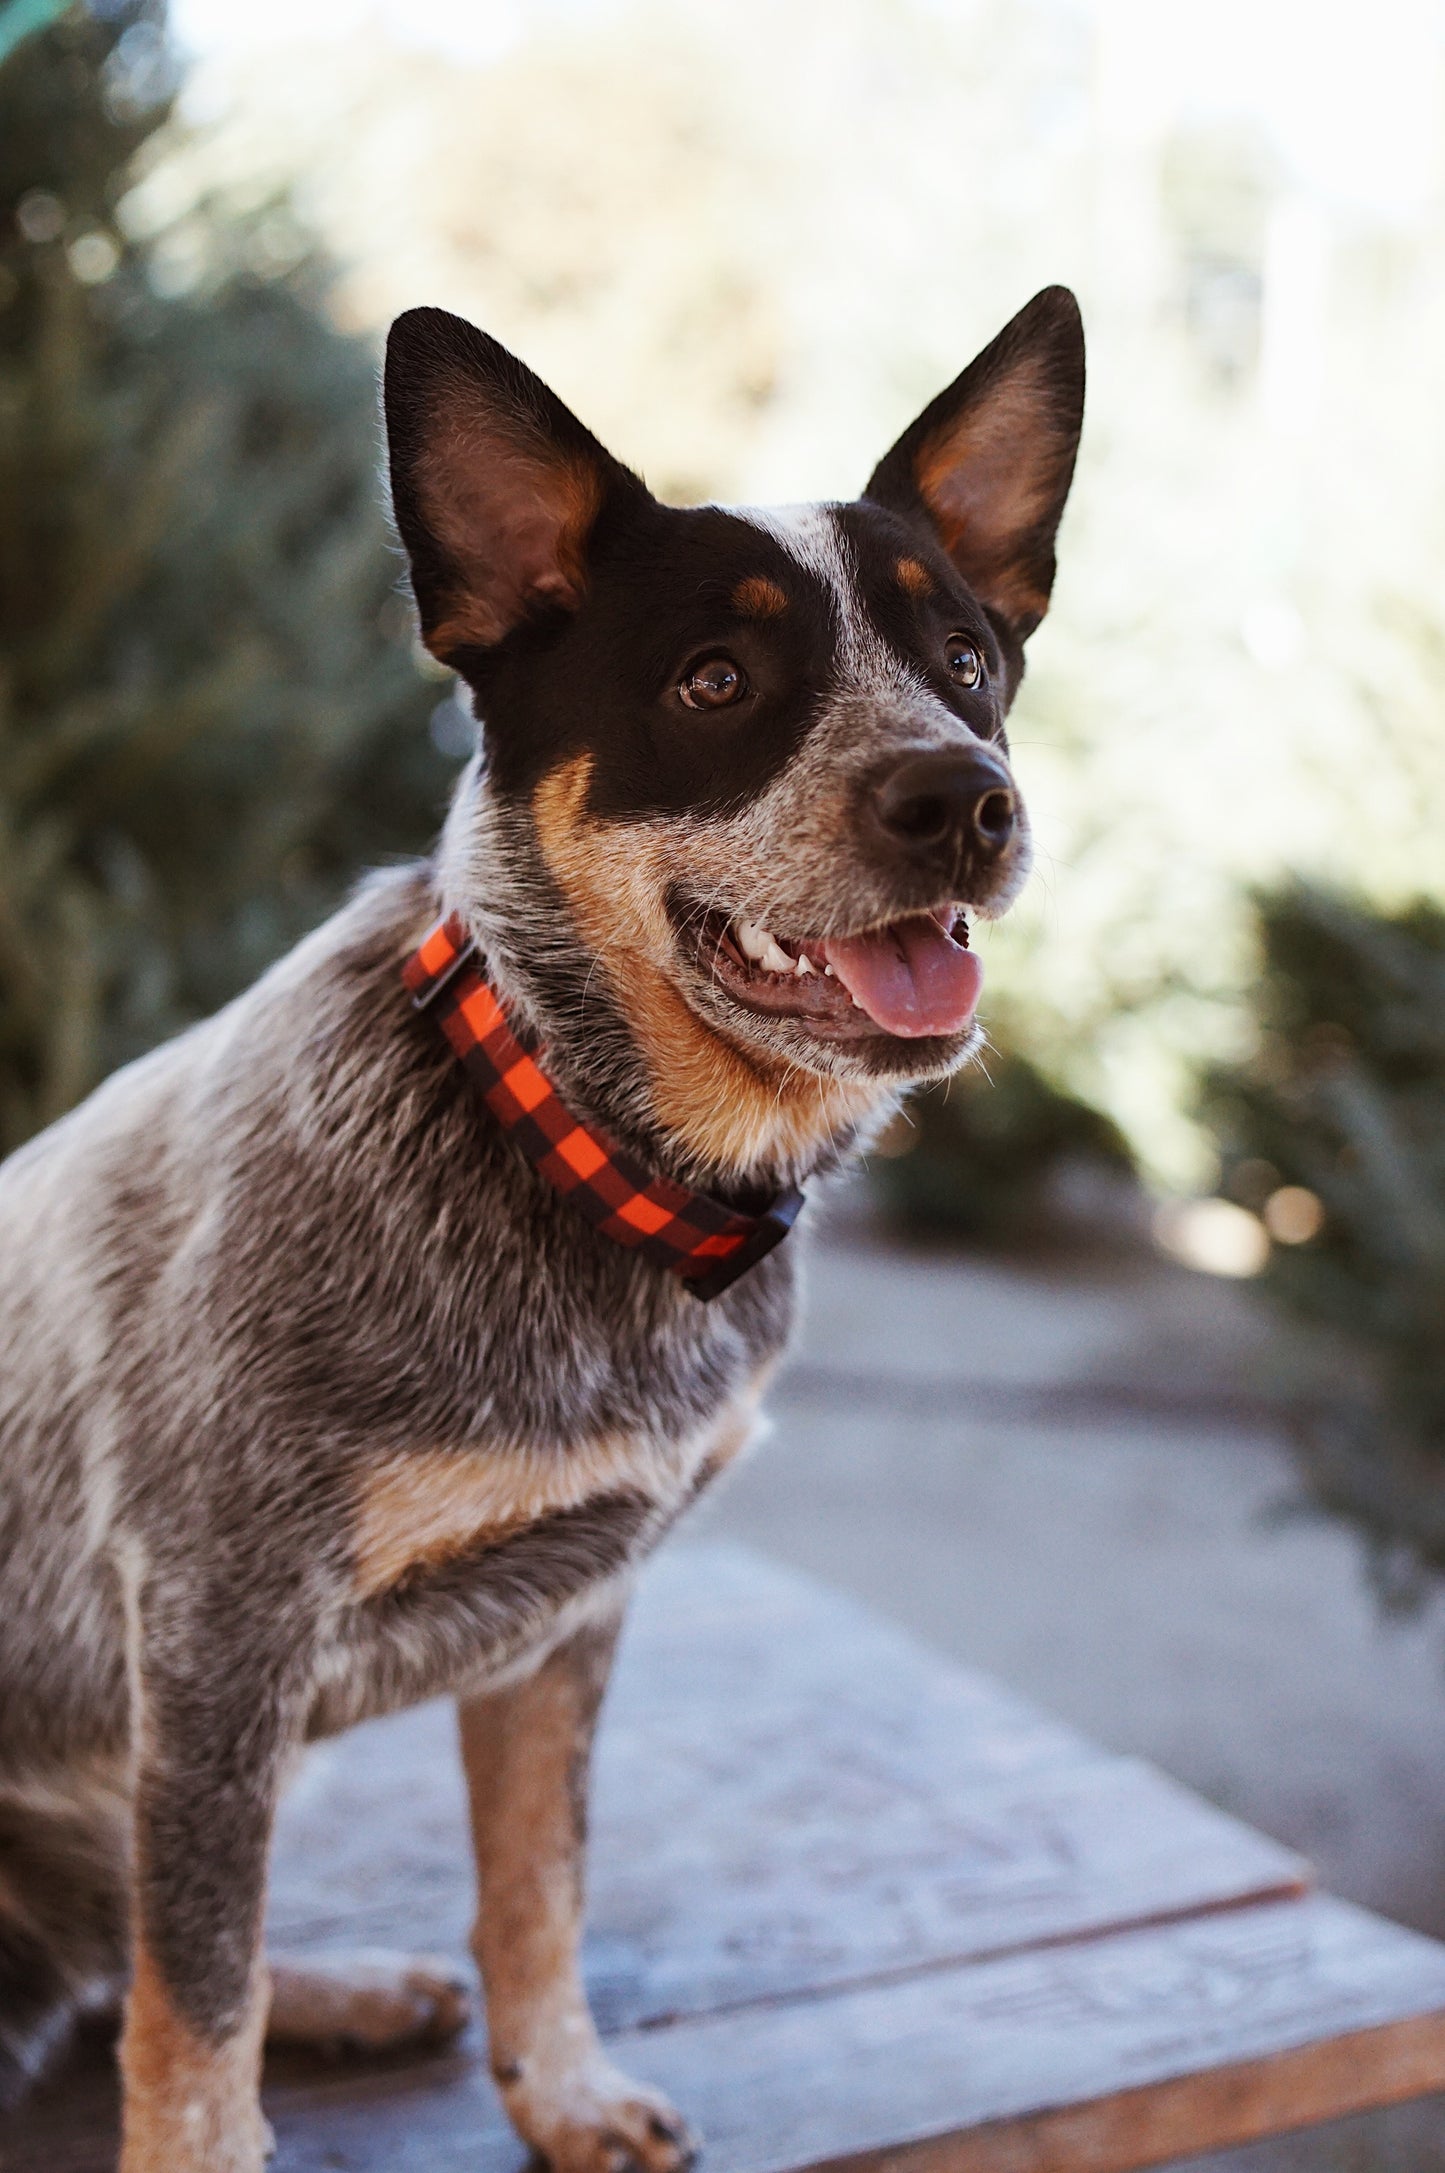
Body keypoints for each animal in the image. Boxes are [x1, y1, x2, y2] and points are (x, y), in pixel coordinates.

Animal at [0, 289, 1082, 2173]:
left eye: (965, 659)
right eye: (714, 681)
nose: (964, 799)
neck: (578, 1159)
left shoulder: (567, 1612)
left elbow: (536, 1885)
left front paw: (560, 2090)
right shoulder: (216, 1628)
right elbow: (193, 2006)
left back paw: (344, 1986)